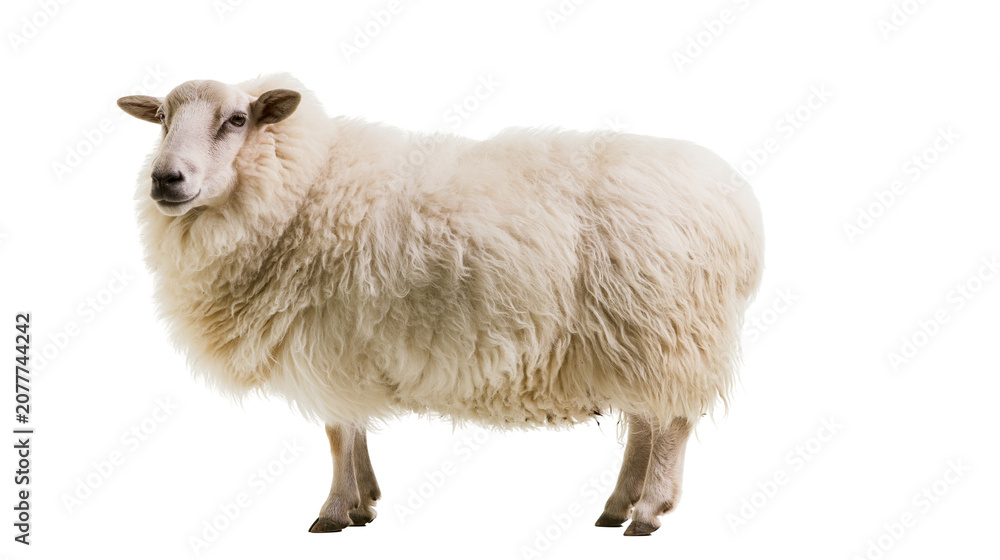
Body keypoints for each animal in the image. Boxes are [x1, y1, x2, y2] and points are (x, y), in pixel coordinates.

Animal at [117, 73, 764, 537]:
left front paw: (335, 510)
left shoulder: (328, 341)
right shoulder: (345, 343)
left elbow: (336, 431)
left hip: (669, 328)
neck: (303, 187)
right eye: (162, 120)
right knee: (647, 420)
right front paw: (365, 501)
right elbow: (350, 429)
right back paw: (617, 505)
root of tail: (736, 203)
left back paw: (648, 511)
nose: (165, 179)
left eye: (236, 120)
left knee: (671, 423)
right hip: (633, 336)